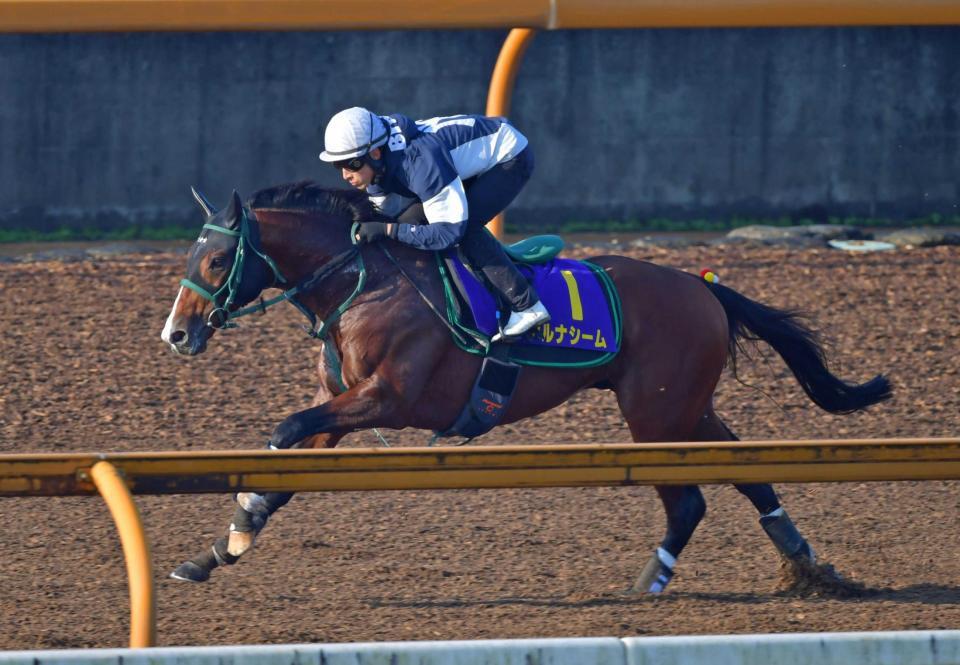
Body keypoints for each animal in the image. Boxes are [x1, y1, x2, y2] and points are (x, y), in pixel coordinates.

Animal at [161, 180, 888, 592]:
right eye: (190, 254)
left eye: (218, 259)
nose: (175, 333)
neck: (363, 282)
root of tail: (701, 284)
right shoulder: (338, 406)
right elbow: (286, 470)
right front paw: (218, 548)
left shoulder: (388, 397)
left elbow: (282, 431)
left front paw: (236, 524)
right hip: (686, 407)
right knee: (748, 470)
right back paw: (807, 564)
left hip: (655, 416)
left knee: (688, 501)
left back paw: (652, 578)